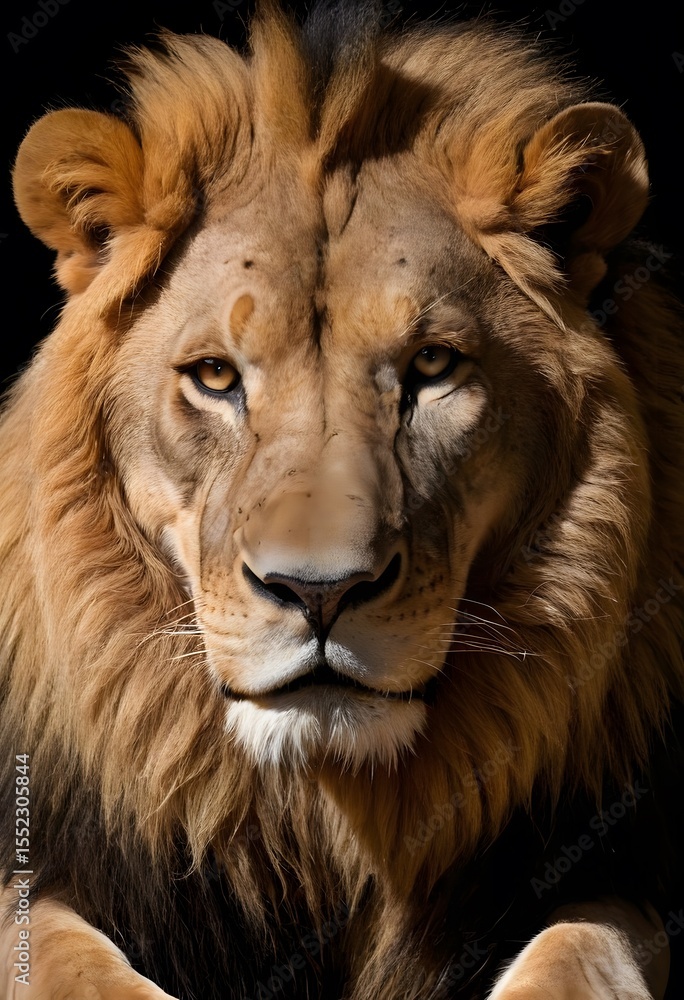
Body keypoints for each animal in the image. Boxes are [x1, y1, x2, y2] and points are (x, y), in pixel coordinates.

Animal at [1, 2, 683, 998]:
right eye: (216, 376)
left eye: (432, 365)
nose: (317, 593)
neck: (328, 826)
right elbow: (64, 964)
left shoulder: (620, 874)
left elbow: (576, 954)